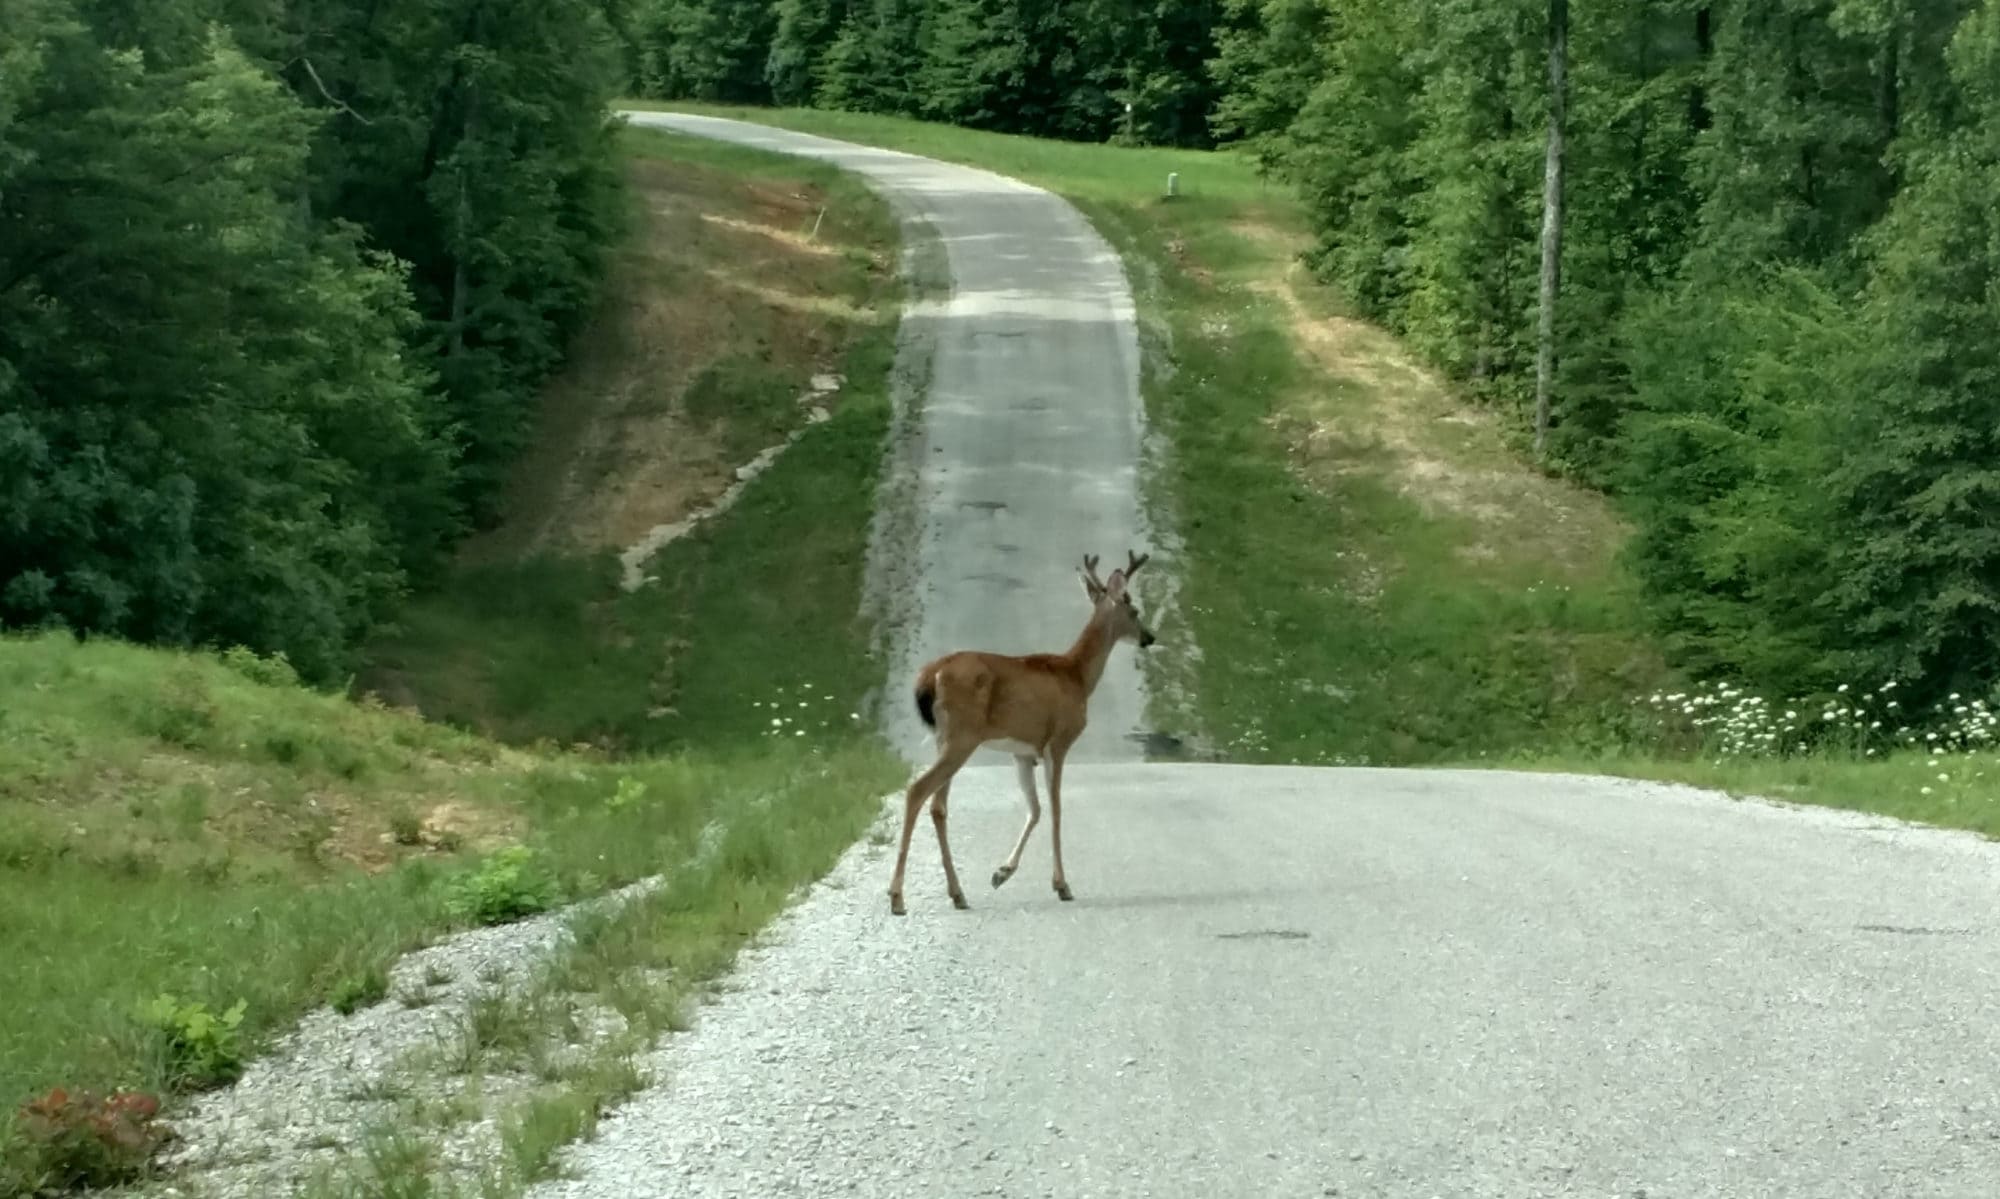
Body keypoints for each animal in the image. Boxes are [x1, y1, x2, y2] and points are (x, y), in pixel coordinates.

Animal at [886, 549, 1156, 916]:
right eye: (1134, 610)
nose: (1150, 637)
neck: (1078, 676)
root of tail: (932, 675)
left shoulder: (1023, 752)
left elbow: (1035, 809)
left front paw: (1002, 873)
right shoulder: (1059, 741)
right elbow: (1056, 810)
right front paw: (1062, 885)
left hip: (945, 738)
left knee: (938, 806)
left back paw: (957, 894)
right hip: (961, 736)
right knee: (918, 791)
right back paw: (897, 897)